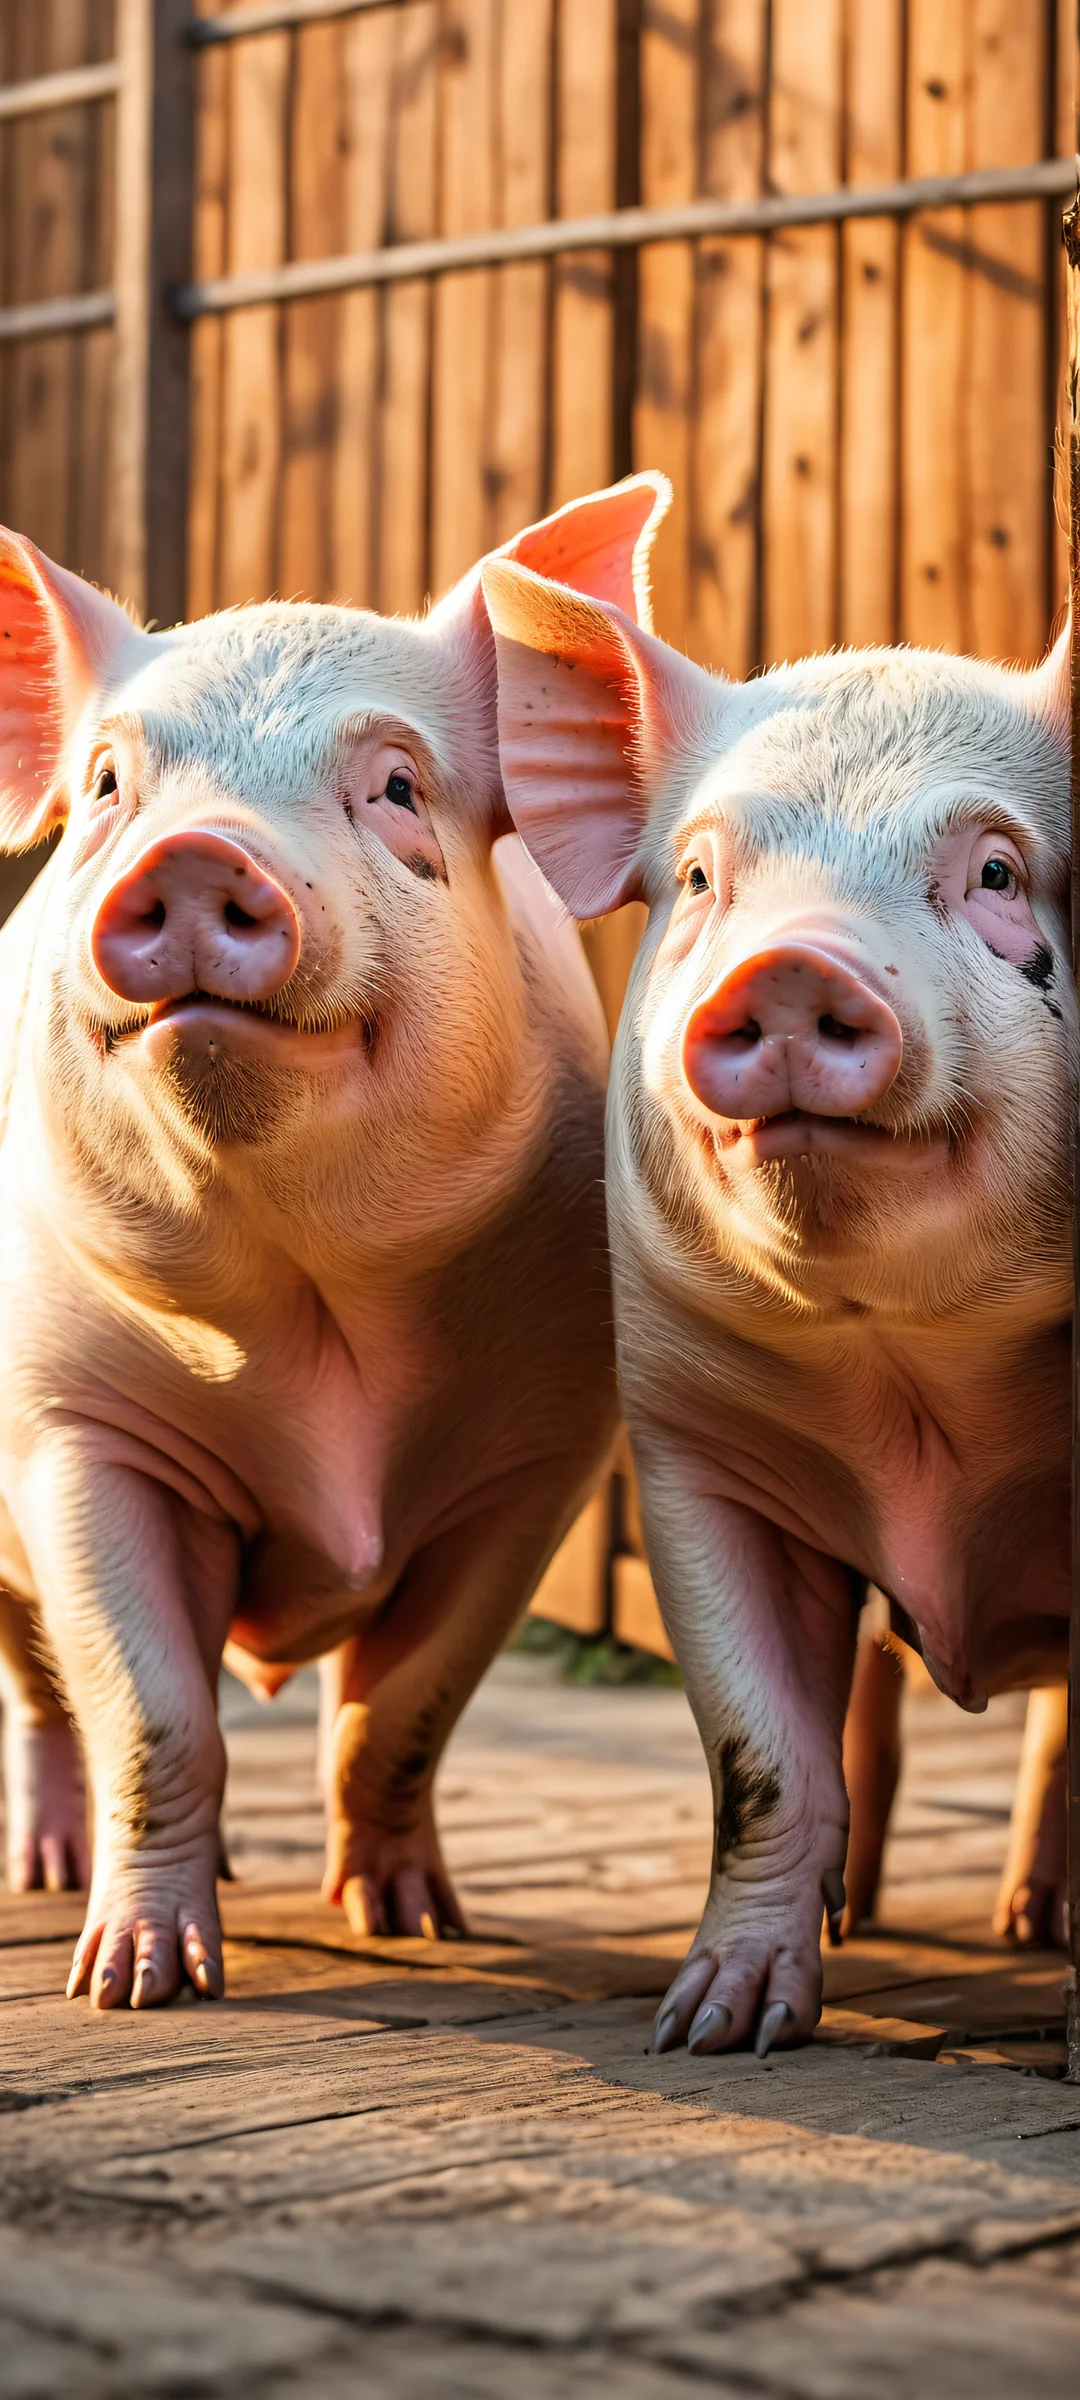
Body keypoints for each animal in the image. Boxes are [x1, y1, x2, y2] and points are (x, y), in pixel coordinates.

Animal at [0, 472, 669, 2009]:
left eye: (399, 786)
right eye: (110, 786)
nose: (197, 855)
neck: (311, 1310)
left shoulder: (538, 1460)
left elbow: (404, 1703)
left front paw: (419, 1926)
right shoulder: (70, 1427)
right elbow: (149, 1706)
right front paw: (135, 1988)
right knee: (43, 1691)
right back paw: (46, 1878)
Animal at [480, 551, 1074, 2055]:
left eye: (997, 869)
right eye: (699, 876)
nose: (795, 966)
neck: (913, 1380)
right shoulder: (694, 1454)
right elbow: (762, 1756)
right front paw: (714, 2030)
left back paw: (1033, 1929)